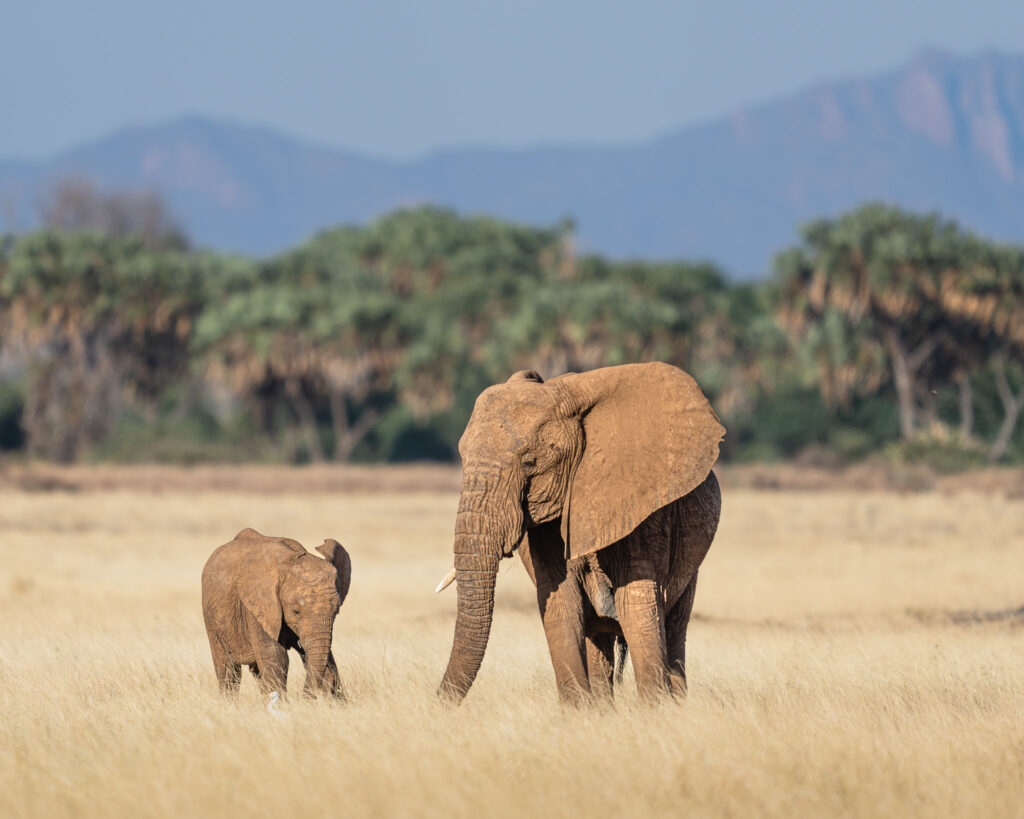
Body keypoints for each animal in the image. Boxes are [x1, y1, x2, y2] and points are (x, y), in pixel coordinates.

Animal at [201, 528, 352, 698]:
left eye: (336, 612)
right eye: (296, 611)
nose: (303, 698)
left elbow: (326, 658)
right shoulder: (258, 605)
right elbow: (276, 656)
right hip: (210, 615)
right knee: (228, 669)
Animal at [436, 362, 724, 704]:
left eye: (531, 462)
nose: (435, 702)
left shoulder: (643, 510)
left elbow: (637, 603)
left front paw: (654, 709)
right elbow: (561, 603)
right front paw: (580, 711)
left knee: (673, 625)